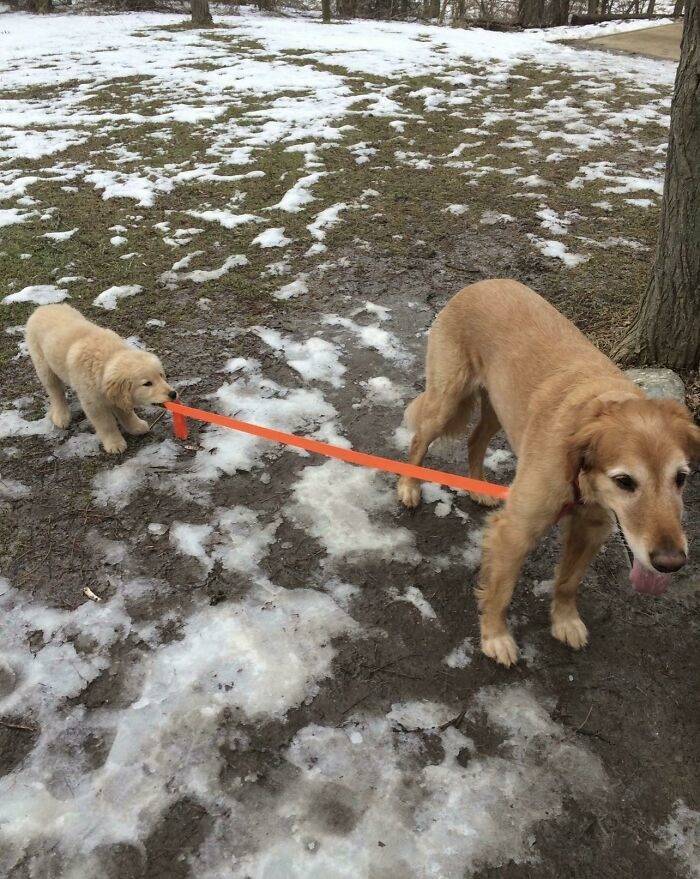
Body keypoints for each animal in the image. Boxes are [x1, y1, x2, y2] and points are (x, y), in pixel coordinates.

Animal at [25, 304, 176, 454]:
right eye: (147, 383)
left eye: (161, 375)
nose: (173, 394)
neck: (106, 359)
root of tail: (44, 307)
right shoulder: (93, 403)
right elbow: (106, 424)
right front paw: (115, 444)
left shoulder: (117, 397)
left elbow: (126, 413)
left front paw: (136, 427)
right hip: (43, 364)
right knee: (55, 391)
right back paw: (61, 416)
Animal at [396, 280, 696, 668]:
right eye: (625, 482)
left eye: (681, 478)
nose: (671, 563)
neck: (579, 472)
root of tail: (481, 283)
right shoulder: (515, 532)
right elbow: (500, 591)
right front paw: (495, 637)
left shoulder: (591, 529)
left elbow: (569, 582)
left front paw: (565, 621)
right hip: (447, 399)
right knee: (420, 439)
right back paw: (408, 487)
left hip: (499, 409)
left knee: (475, 440)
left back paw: (477, 487)